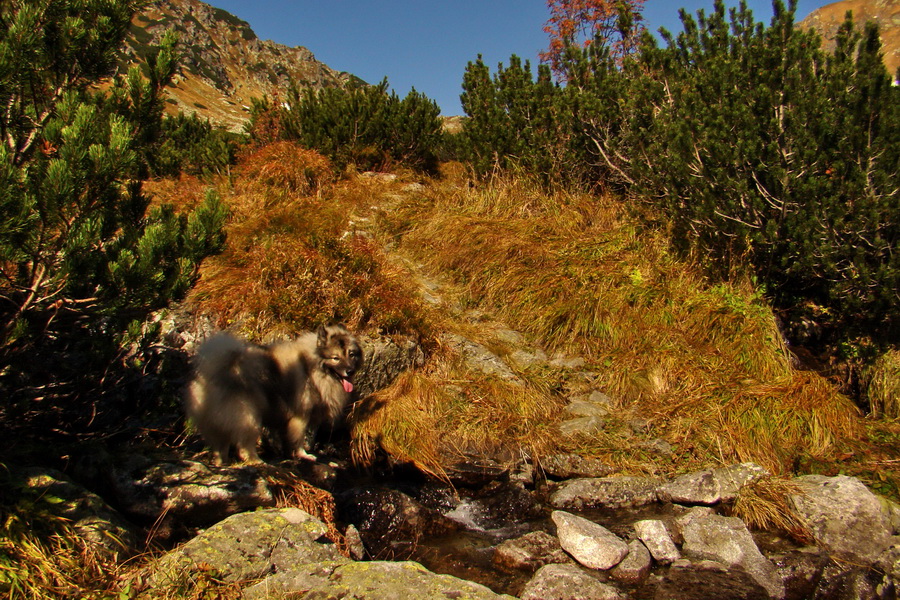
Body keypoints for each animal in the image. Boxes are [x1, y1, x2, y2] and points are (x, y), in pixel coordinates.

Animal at [185, 324, 364, 464]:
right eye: (335, 358)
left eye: (351, 354)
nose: (350, 370)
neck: (313, 367)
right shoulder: (300, 416)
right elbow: (298, 439)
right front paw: (304, 455)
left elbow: (287, 440)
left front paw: (289, 455)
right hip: (249, 417)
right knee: (243, 447)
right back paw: (257, 461)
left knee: (221, 446)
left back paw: (222, 463)